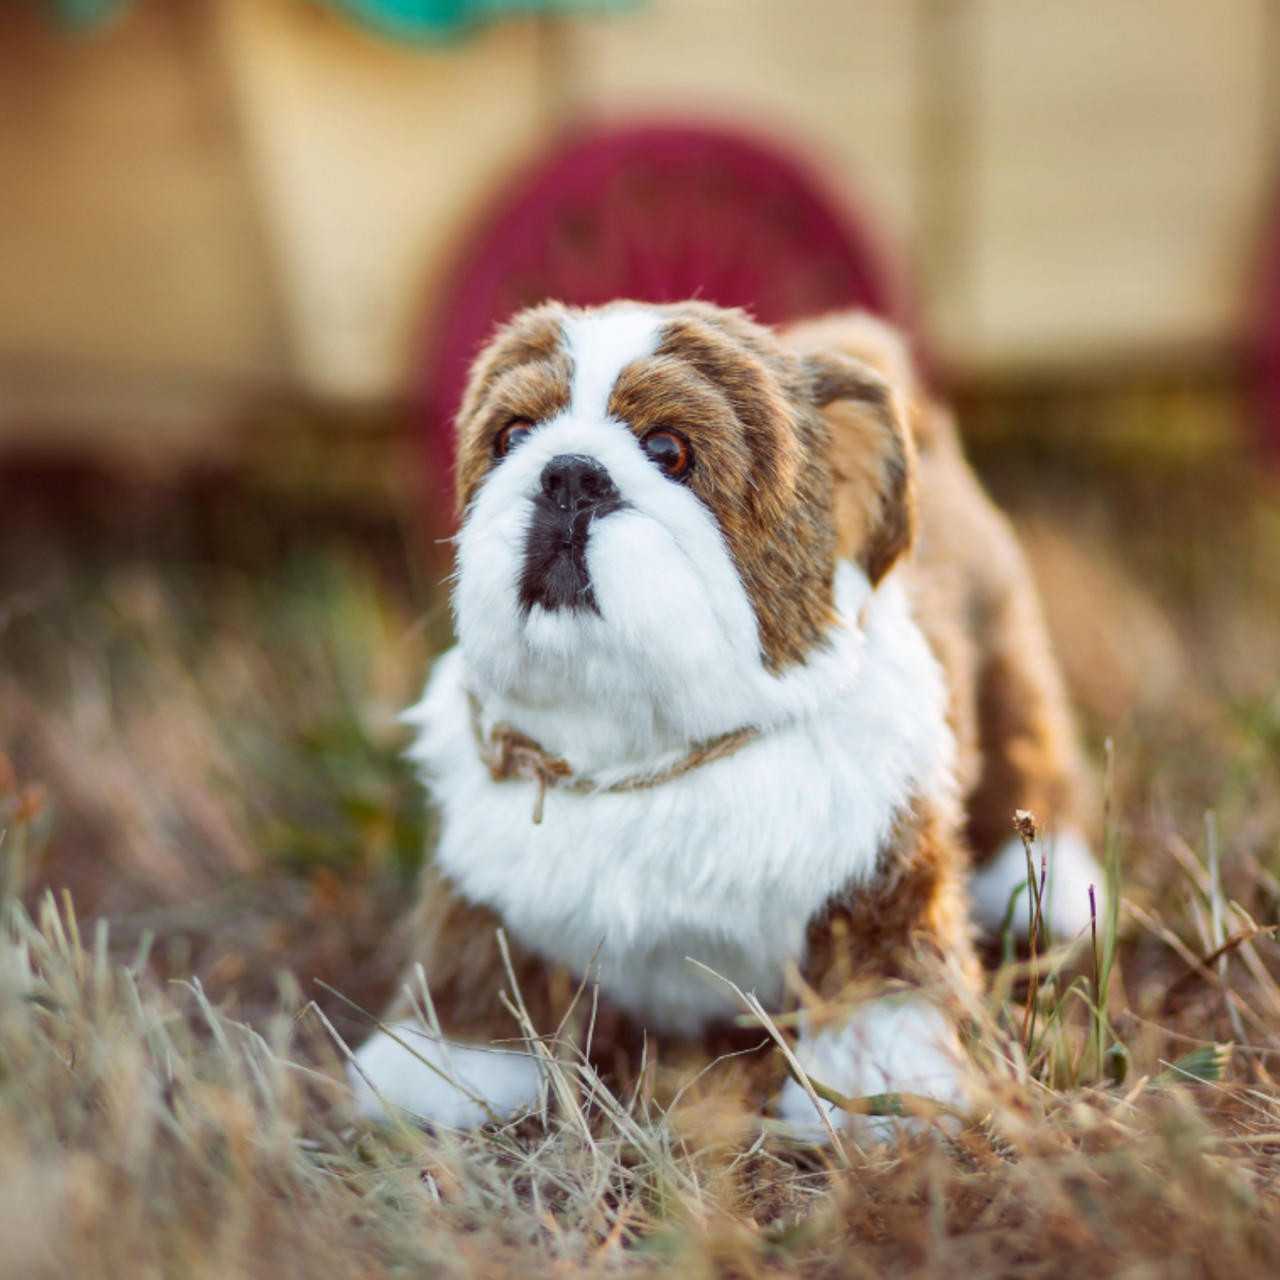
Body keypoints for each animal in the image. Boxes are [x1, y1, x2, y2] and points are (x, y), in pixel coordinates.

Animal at [348, 299, 1100, 1141]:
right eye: (511, 435)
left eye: (669, 449)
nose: (569, 473)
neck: (641, 752)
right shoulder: (487, 879)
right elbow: (475, 954)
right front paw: (444, 1060)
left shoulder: (882, 868)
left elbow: (883, 969)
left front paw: (886, 1082)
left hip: (1006, 660)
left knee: (1023, 756)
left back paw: (1050, 890)